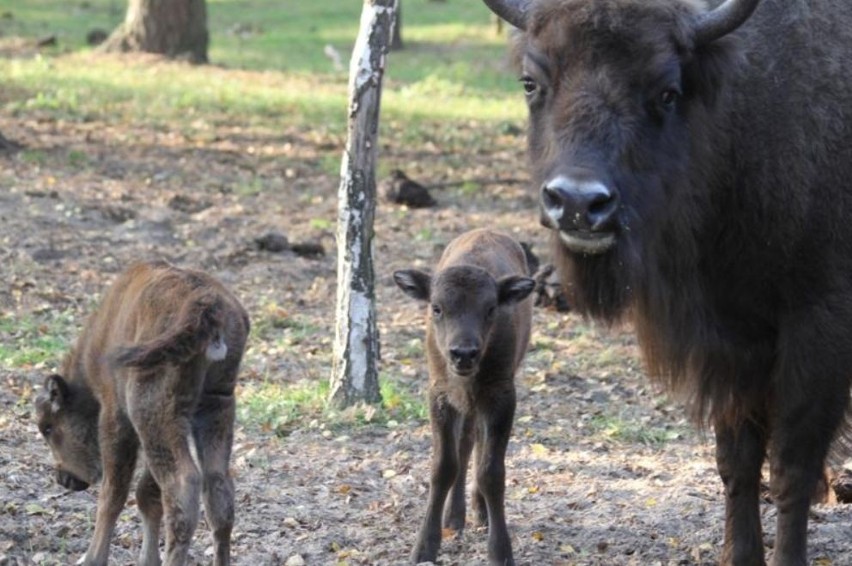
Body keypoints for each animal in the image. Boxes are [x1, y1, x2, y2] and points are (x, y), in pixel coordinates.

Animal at [36, 262, 250, 566]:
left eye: (48, 427)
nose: (64, 478)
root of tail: (207, 305)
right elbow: (147, 494)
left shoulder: (116, 415)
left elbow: (114, 493)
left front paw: (92, 558)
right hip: (215, 407)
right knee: (218, 491)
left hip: (152, 410)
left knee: (183, 486)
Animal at [392, 230, 532, 566]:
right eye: (437, 307)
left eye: (491, 308)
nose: (463, 353)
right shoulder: (441, 397)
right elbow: (444, 465)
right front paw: (424, 548)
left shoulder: (501, 398)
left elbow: (491, 472)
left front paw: (500, 552)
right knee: (466, 445)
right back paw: (454, 518)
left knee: (477, 445)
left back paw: (479, 513)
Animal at [486, 1, 852, 566]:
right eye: (531, 82)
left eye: (666, 91)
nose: (578, 202)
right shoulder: (731, 340)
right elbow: (736, 460)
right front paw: (740, 555)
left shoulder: (819, 331)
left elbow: (792, 468)